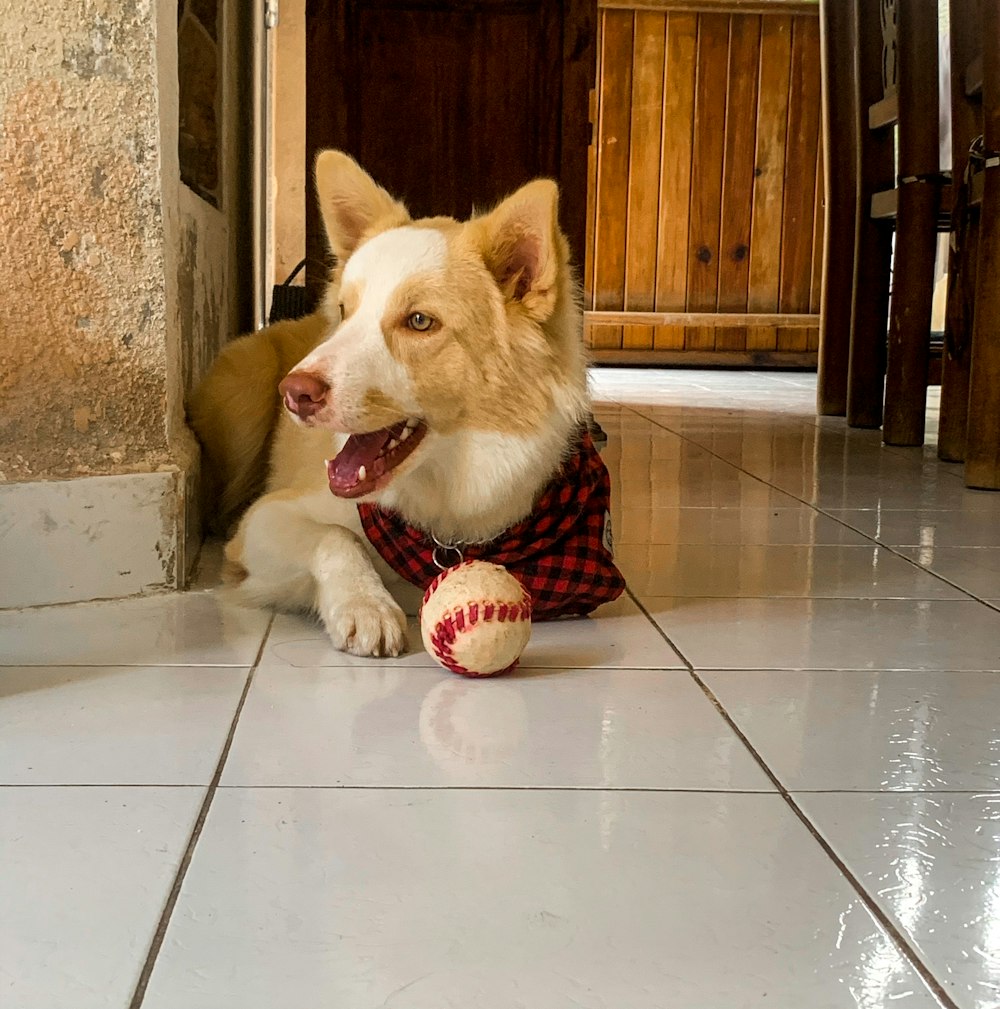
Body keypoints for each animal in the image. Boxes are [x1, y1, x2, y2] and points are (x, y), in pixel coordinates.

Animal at [188, 147, 621, 653]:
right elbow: (337, 537)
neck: (444, 510)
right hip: (245, 387)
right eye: (344, 312)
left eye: (419, 321)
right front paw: (365, 606)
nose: (294, 393)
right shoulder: (265, 520)